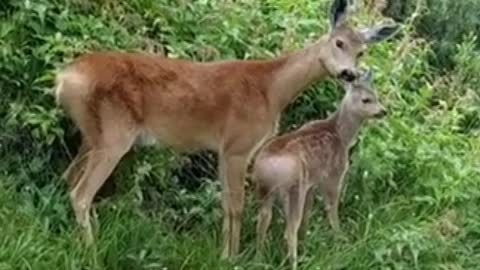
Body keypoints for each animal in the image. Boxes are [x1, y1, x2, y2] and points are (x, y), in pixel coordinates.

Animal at [53, 0, 398, 258]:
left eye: (362, 51)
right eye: (338, 42)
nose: (349, 73)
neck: (271, 90)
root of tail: (63, 79)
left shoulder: (224, 149)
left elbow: (224, 205)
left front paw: (224, 252)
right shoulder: (238, 145)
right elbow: (236, 206)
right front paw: (231, 257)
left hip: (91, 135)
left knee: (68, 176)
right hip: (114, 134)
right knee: (81, 193)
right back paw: (92, 252)